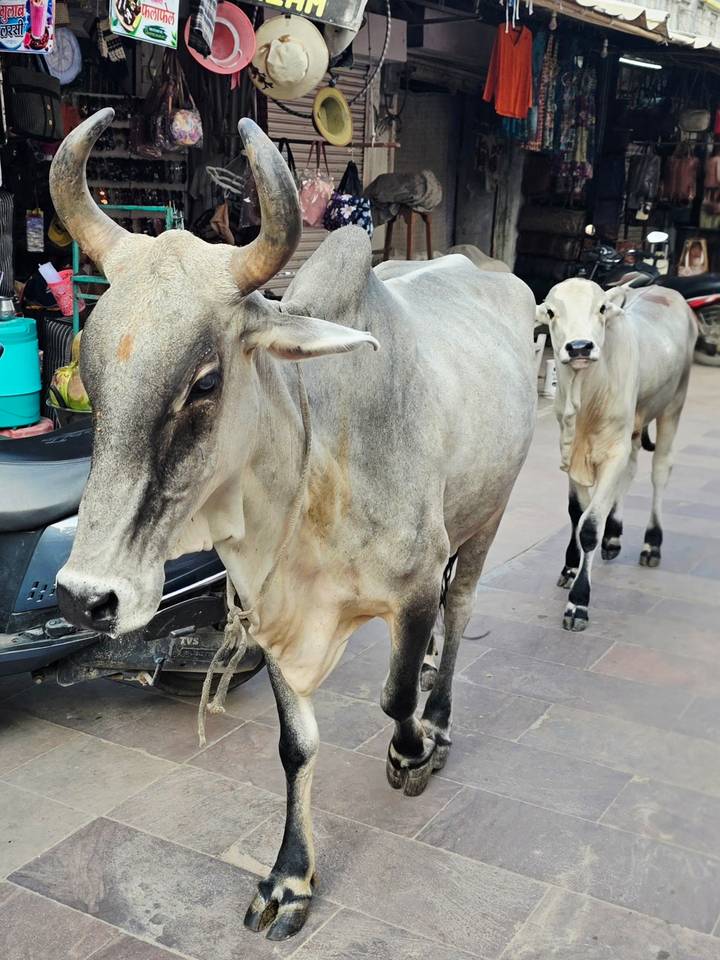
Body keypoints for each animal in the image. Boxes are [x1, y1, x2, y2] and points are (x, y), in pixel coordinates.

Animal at [51, 110, 537, 940]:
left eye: (205, 381)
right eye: (90, 368)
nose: (88, 596)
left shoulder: (413, 582)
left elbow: (394, 699)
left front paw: (412, 754)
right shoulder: (267, 609)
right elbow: (296, 745)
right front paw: (290, 877)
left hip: (487, 515)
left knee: (461, 607)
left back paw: (439, 718)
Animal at [537, 278, 695, 631]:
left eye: (601, 308)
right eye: (551, 311)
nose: (579, 347)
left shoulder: (613, 452)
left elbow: (589, 527)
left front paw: (579, 603)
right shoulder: (569, 451)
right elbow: (576, 513)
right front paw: (570, 566)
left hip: (673, 405)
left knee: (660, 471)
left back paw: (652, 543)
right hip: (635, 425)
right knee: (632, 470)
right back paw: (614, 537)